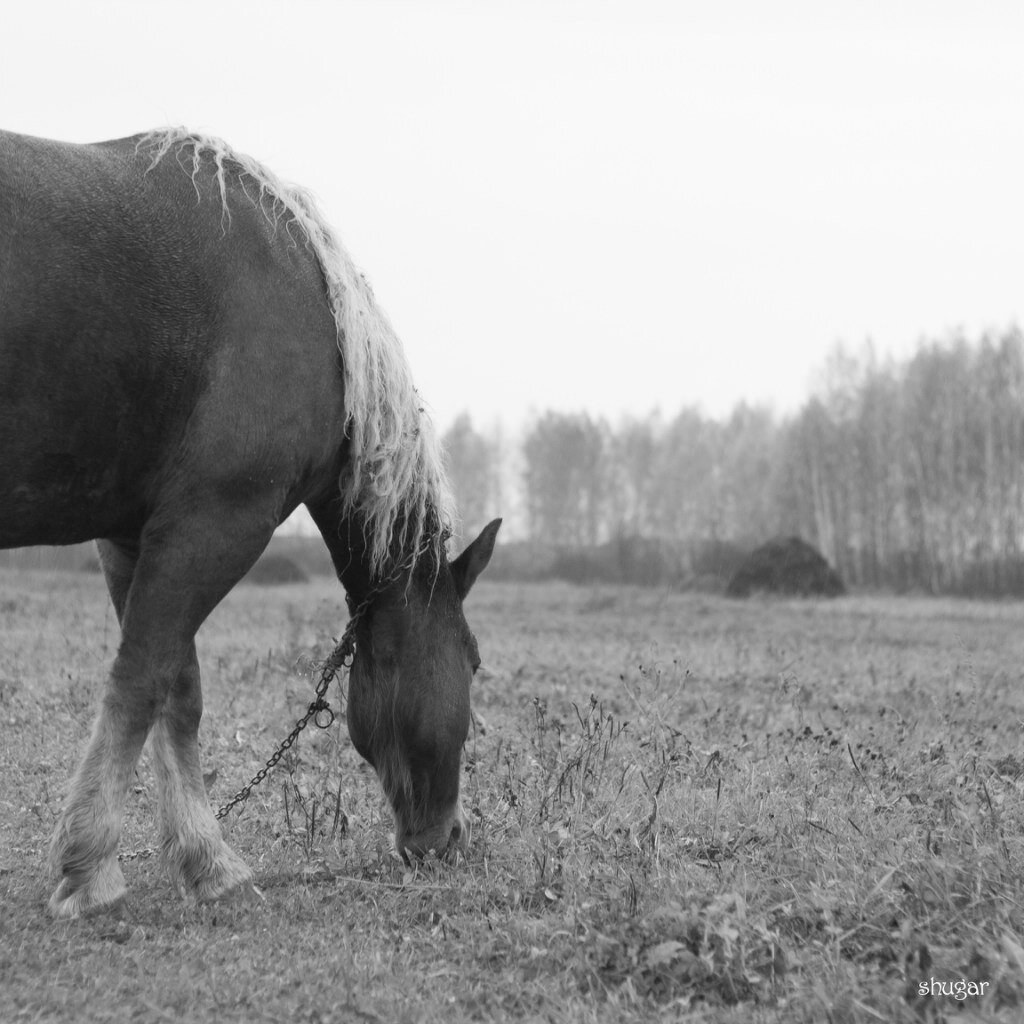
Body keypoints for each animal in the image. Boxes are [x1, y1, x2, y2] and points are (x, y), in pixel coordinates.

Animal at [0, 128, 499, 921]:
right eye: (473, 662)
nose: (448, 839)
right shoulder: (213, 524)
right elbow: (140, 680)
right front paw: (89, 868)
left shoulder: (132, 538)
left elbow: (177, 690)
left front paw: (204, 862)